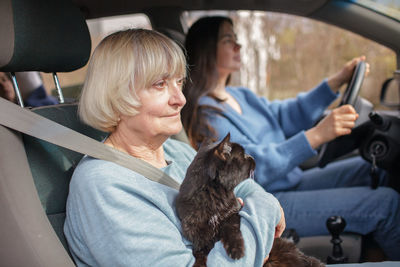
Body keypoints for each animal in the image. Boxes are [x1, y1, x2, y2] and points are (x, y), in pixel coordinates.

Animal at [176, 134, 324, 267]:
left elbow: (231, 229)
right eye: (243, 156)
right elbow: (198, 255)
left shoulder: (234, 214)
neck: (214, 197)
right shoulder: (198, 238)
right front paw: (198, 263)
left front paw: (237, 250)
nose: (252, 157)